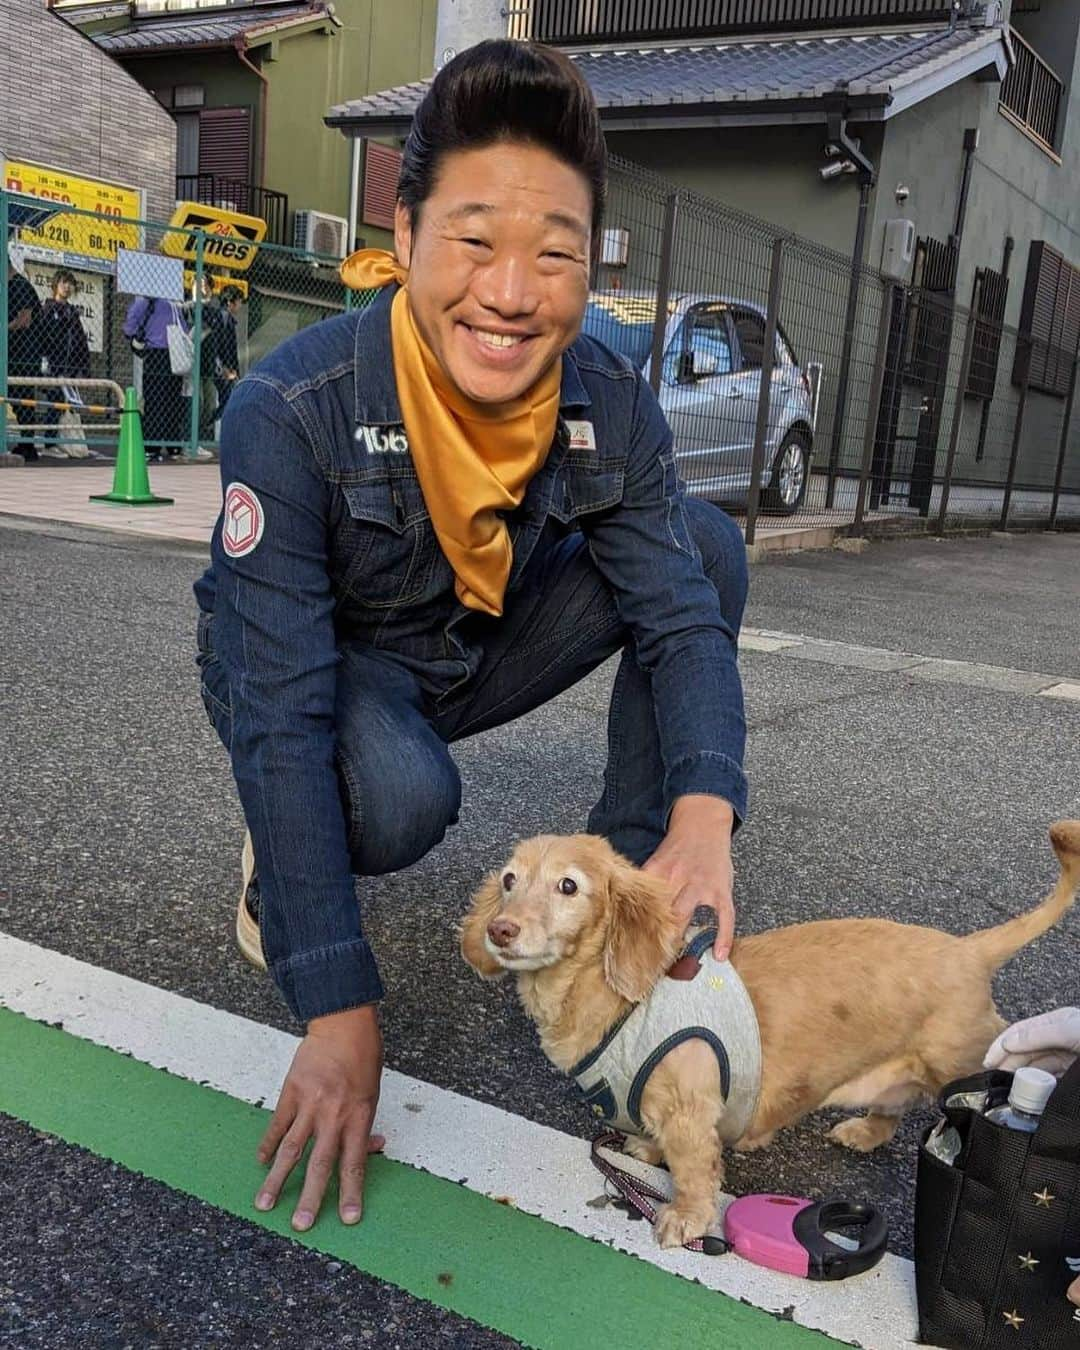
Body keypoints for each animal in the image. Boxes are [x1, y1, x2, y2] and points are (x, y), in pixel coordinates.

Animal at [461, 815, 1080, 1247]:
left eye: (568, 886)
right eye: (510, 880)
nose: (500, 930)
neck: (620, 1003)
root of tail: (970, 951)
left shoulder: (691, 1111)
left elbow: (694, 1171)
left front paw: (685, 1218)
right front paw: (645, 1149)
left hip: (968, 1060)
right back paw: (865, 1131)